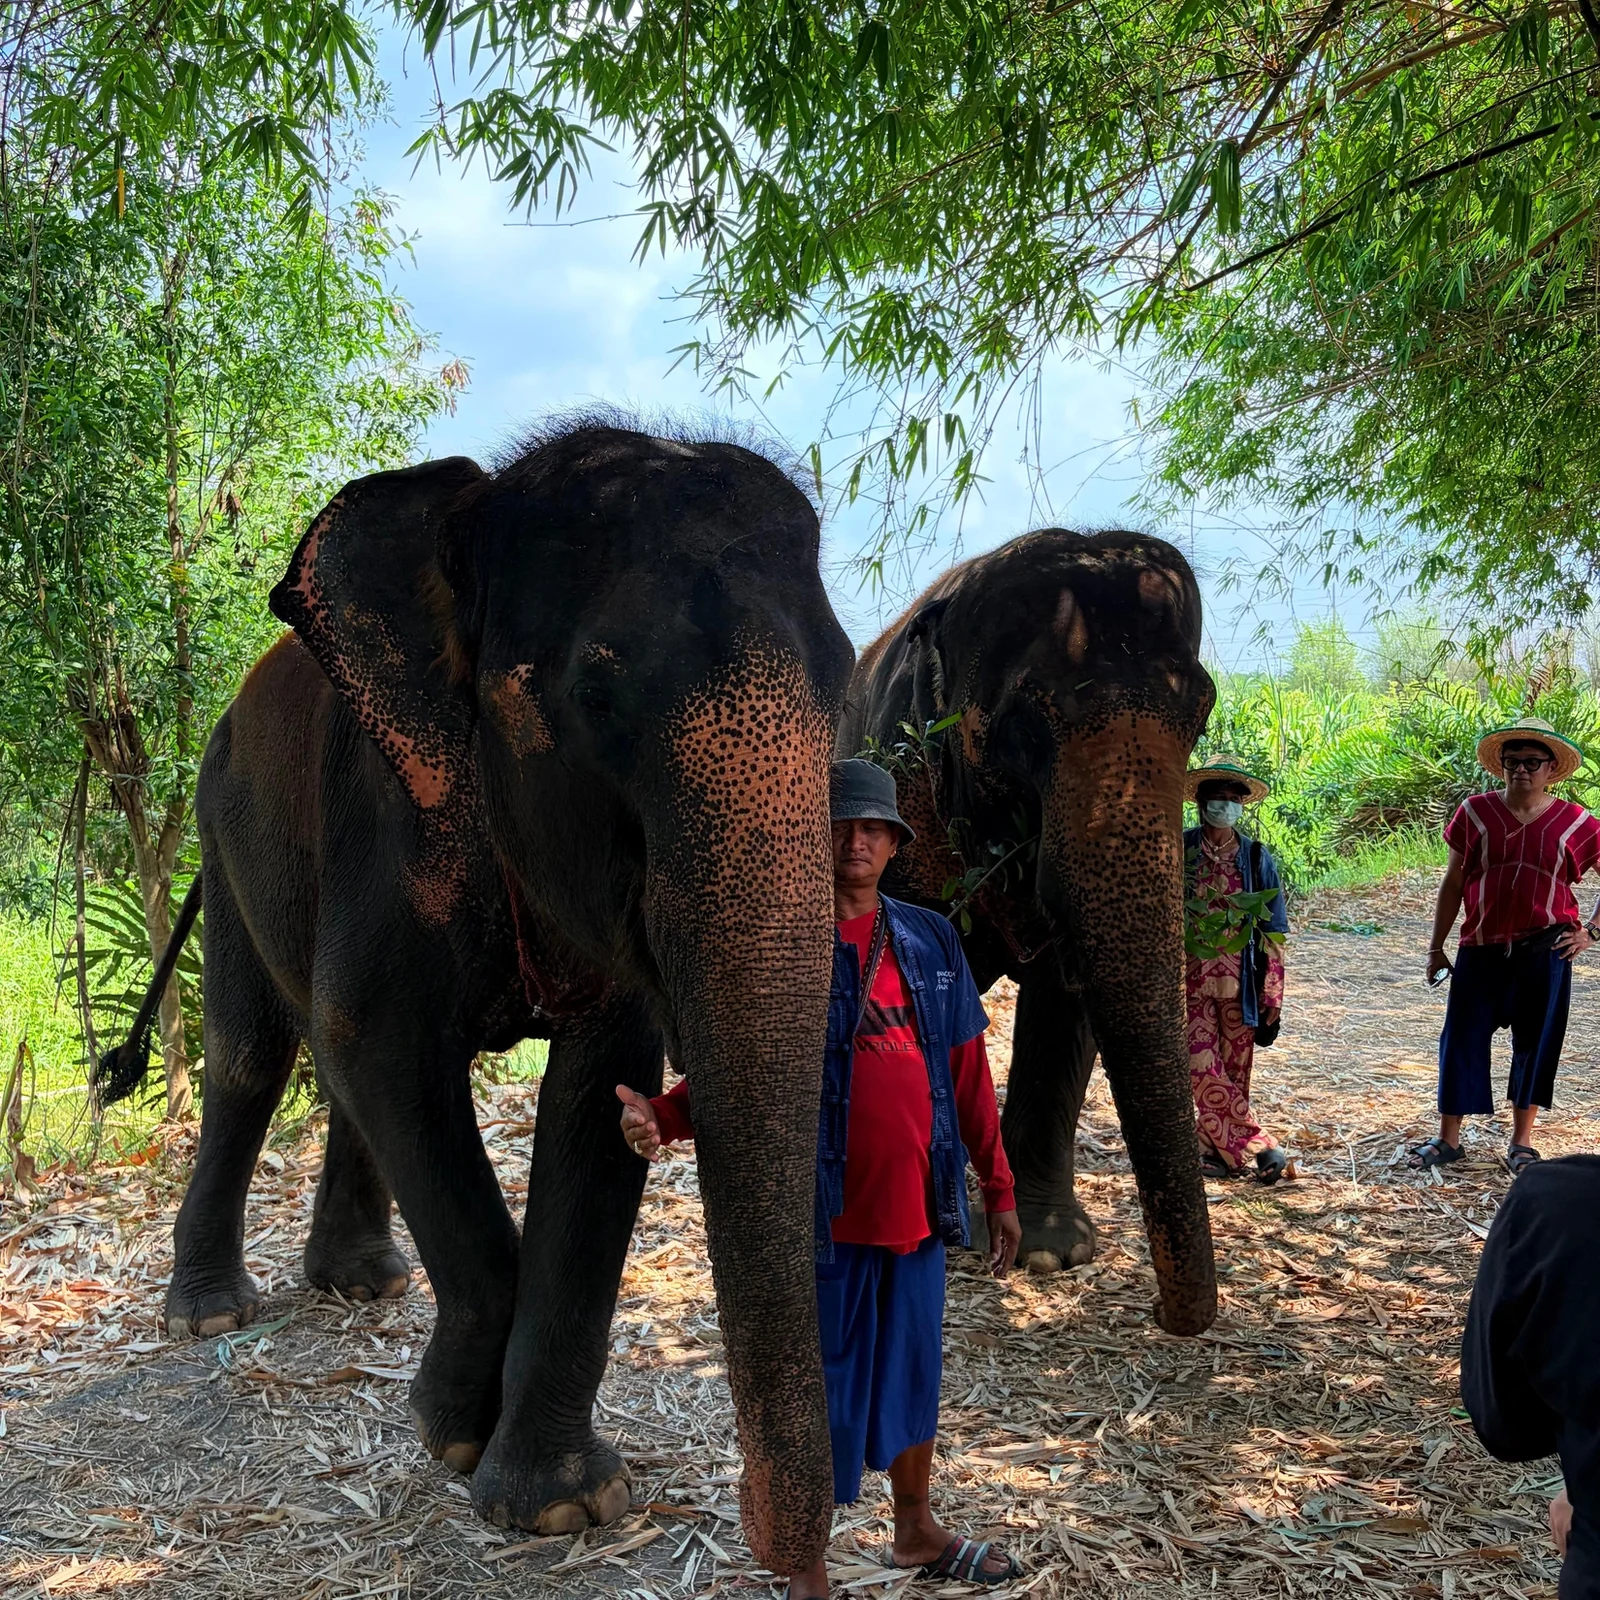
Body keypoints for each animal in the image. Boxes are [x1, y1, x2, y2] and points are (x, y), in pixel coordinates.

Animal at [98, 418, 851, 1576]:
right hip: (225, 833)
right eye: (595, 698)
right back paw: (211, 1317)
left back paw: (363, 1283)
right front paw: (450, 1430)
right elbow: (377, 1039)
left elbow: (594, 1090)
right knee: (256, 1057)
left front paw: (562, 1505)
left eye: (847, 684)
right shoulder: (386, 811)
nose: (787, 1555)